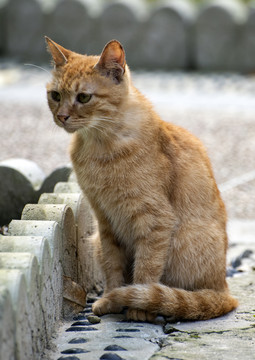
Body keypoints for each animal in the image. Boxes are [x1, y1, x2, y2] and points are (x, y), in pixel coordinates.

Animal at [45, 36, 237, 322]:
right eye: (55, 95)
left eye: (83, 97)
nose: (61, 116)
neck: (100, 146)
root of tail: (224, 289)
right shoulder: (106, 220)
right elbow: (113, 266)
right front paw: (111, 299)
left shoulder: (154, 220)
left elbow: (146, 269)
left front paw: (138, 307)